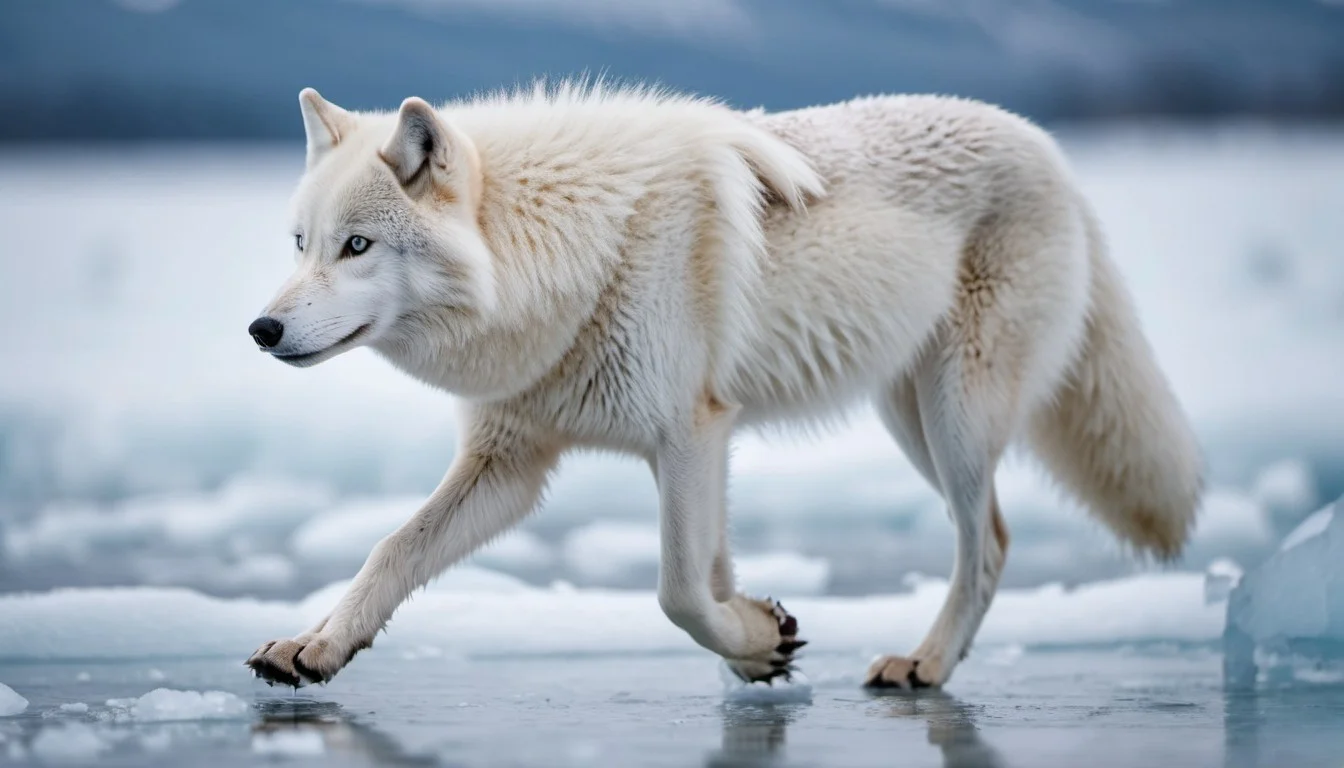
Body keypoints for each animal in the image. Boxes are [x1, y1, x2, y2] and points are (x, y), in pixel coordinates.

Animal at [244, 82, 1204, 691]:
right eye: (300, 243)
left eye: (357, 246)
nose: (262, 330)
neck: (567, 257)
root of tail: (1051, 151)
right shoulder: (519, 463)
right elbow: (391, 551)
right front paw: (317, 647)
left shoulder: (688, 433)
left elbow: (675, 591)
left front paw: (745, 639)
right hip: (910, 418)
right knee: (991, 536)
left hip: (956, 419)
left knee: (991, 541)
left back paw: (926, 666)